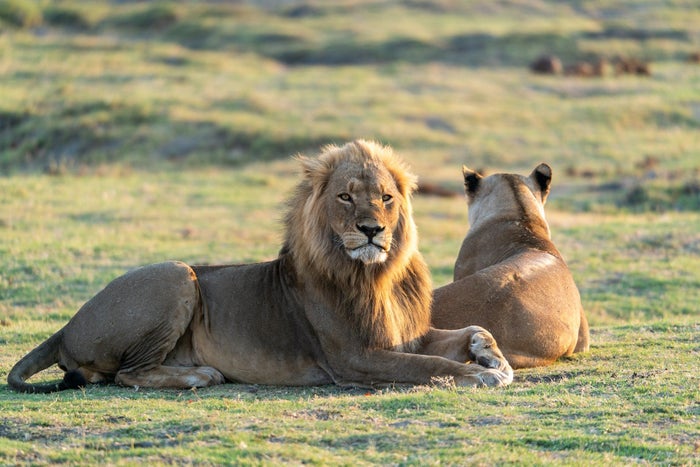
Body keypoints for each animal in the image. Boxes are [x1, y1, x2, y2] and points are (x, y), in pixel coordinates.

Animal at [8, 140, 513, 393]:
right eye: (345, 196)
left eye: (386, 197)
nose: (372, 230)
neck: (376, 275)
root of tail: (68, 324)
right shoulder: (355, 358)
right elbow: (427, 366)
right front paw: (480, 374)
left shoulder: (406, 334)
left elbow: (472, 329)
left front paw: (493, 357)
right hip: (177, 274)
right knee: (128, 374)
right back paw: (200, 375)